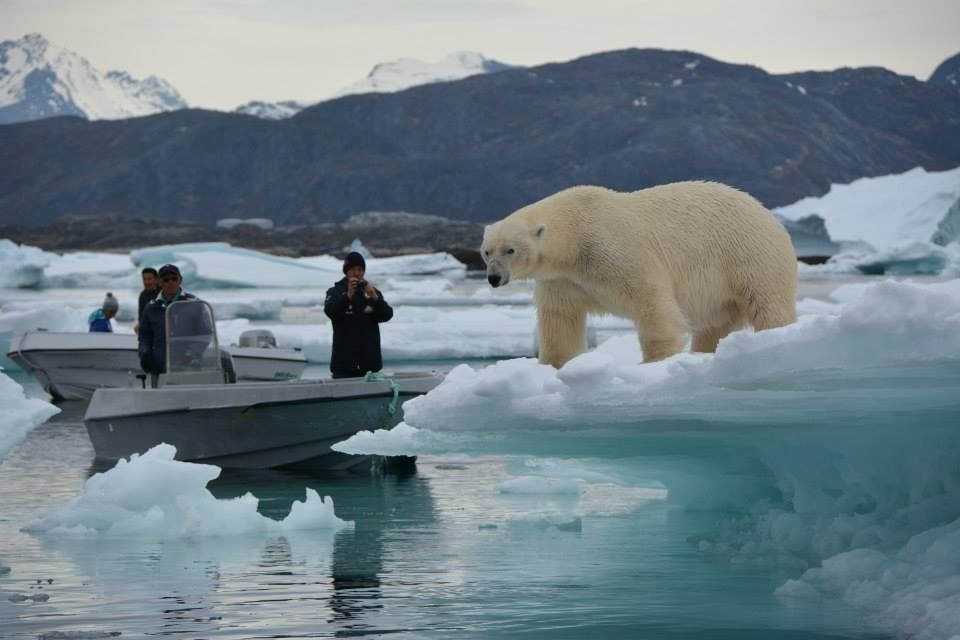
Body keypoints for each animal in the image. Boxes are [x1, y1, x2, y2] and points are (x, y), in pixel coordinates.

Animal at [480, 181, 798, 368]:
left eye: (510, 250)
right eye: (486, 251)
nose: (494, 278)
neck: (576, 235)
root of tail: (769, 215)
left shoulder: (616, 249)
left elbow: (650, 300)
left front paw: (656, 361)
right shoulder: (562, 279)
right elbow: (559, 317)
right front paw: (554, 365)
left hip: (749, 255)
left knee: (767, 304)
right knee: (715, 325)